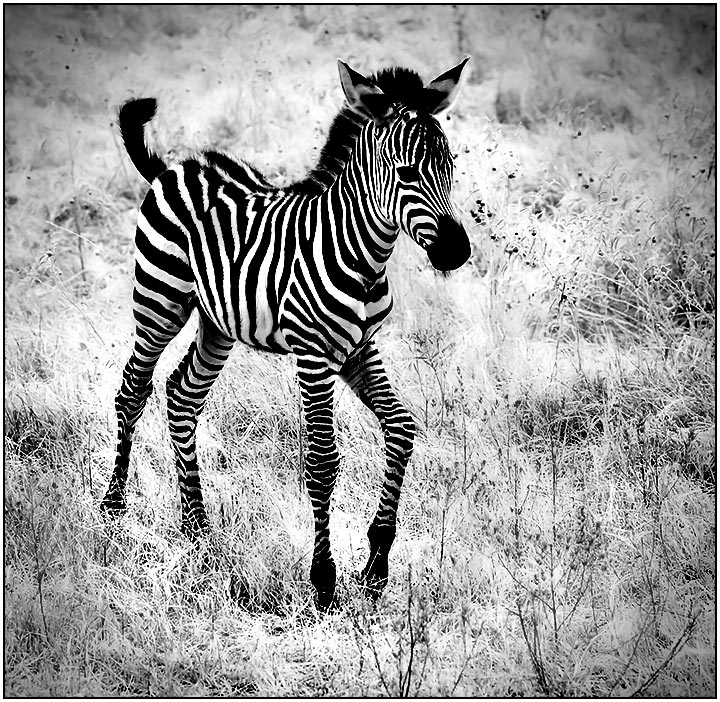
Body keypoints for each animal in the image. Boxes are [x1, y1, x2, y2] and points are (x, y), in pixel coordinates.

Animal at [101, 59, 472, 612]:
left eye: (449, 162)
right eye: (406, 172)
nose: (456, 252)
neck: (363, 254)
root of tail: (176, 167)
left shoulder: (359, 349)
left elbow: (402, 430)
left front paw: (376, 565)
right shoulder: (314, 356)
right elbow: (322, 461)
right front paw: (324, 581)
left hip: (218, 324)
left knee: (182, 395)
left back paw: (196, 528)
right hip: (159, 301)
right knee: (132, 389)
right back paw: (114, 508)